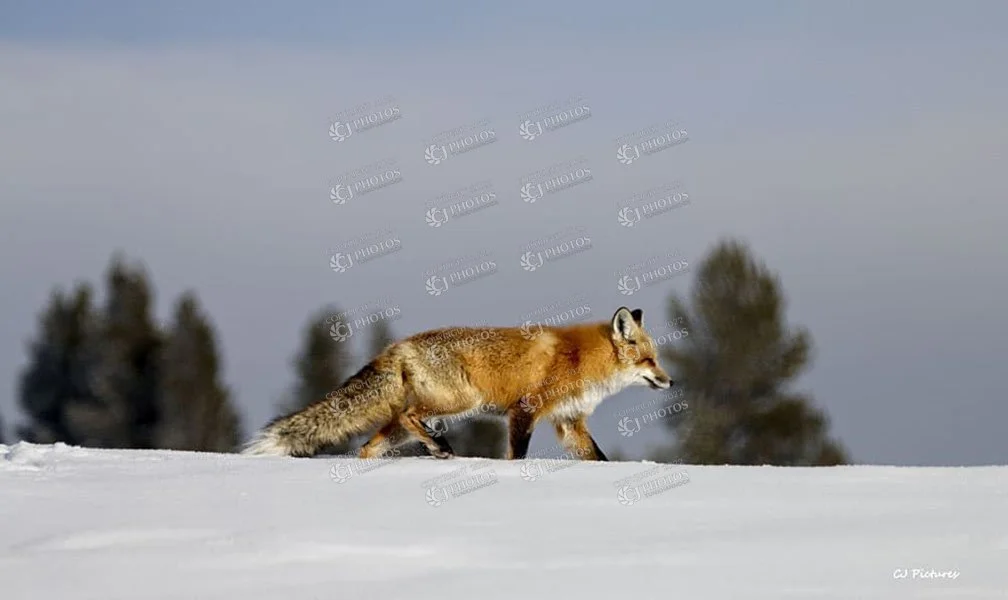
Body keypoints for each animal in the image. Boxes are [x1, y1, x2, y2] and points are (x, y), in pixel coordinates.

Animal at [242, 306, 673, 461]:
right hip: (462, 400)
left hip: (409, 422)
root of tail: (397, 346)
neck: (581, 358)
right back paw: (440, 447)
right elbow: (517, 457)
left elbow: (597, 458)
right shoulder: (525, 410)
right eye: (650, 359)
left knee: (368, 447)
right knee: (413, 417)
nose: (670, 381)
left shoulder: (569, 422)